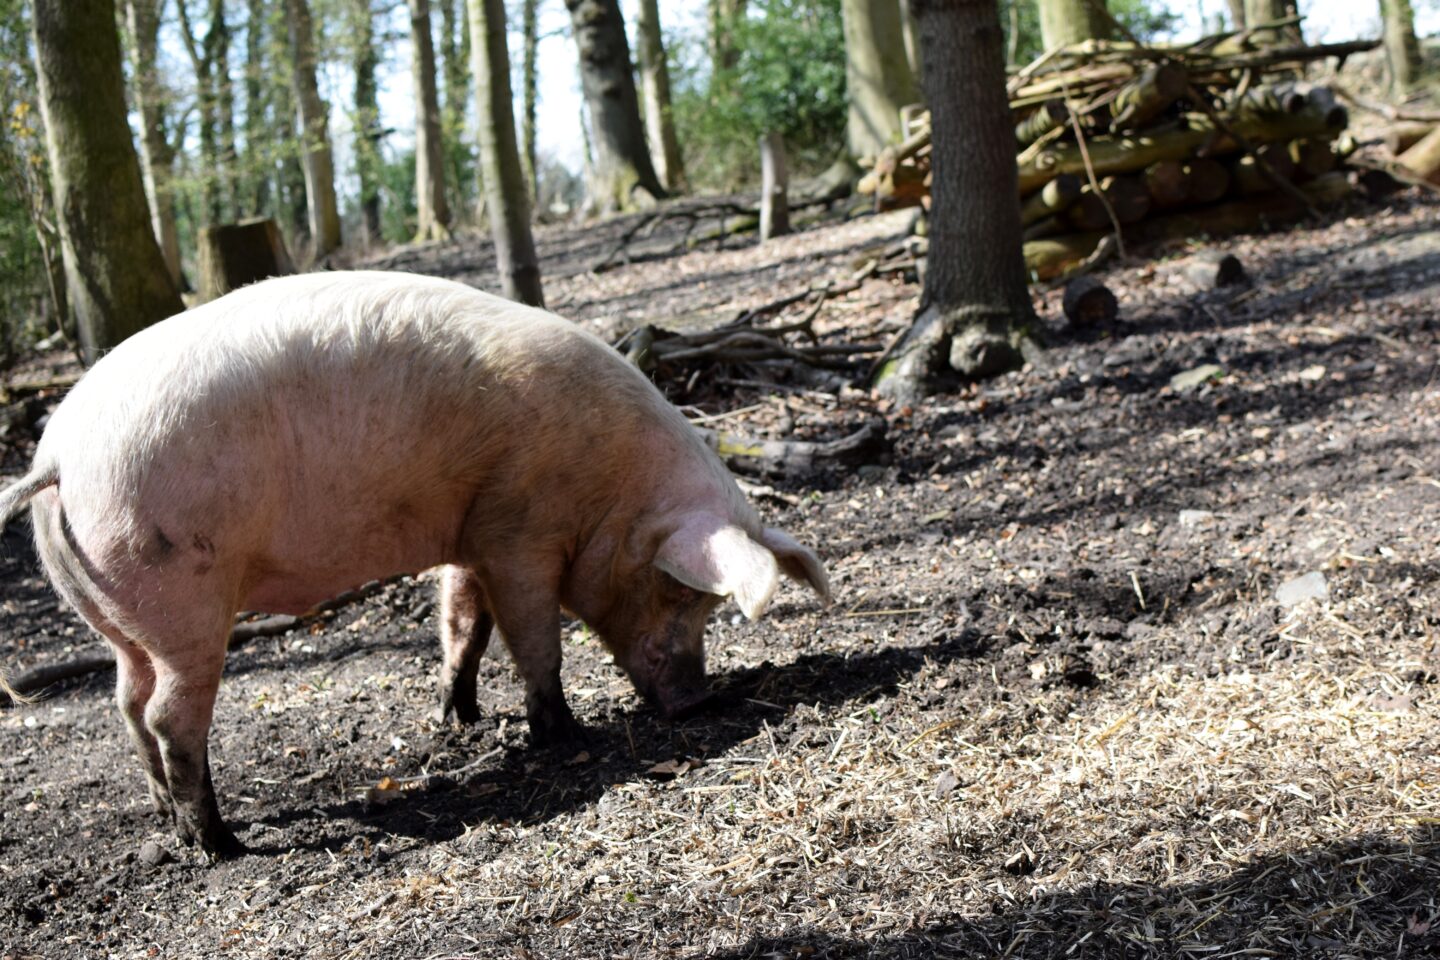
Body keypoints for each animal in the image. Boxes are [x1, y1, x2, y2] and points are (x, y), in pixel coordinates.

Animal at [0, 271, 829, 857]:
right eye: (682, 595)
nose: (696, 702)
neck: (610, 490)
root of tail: (56, 456)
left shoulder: (474, 530)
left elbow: (464, 623)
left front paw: (460, 718)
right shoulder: (520, 530)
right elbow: (534, 637)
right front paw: (564, 736)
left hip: (120, 619)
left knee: (127, 703)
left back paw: (171, 822)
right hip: (181, 595)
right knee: (170, 715)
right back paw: (221, 844)